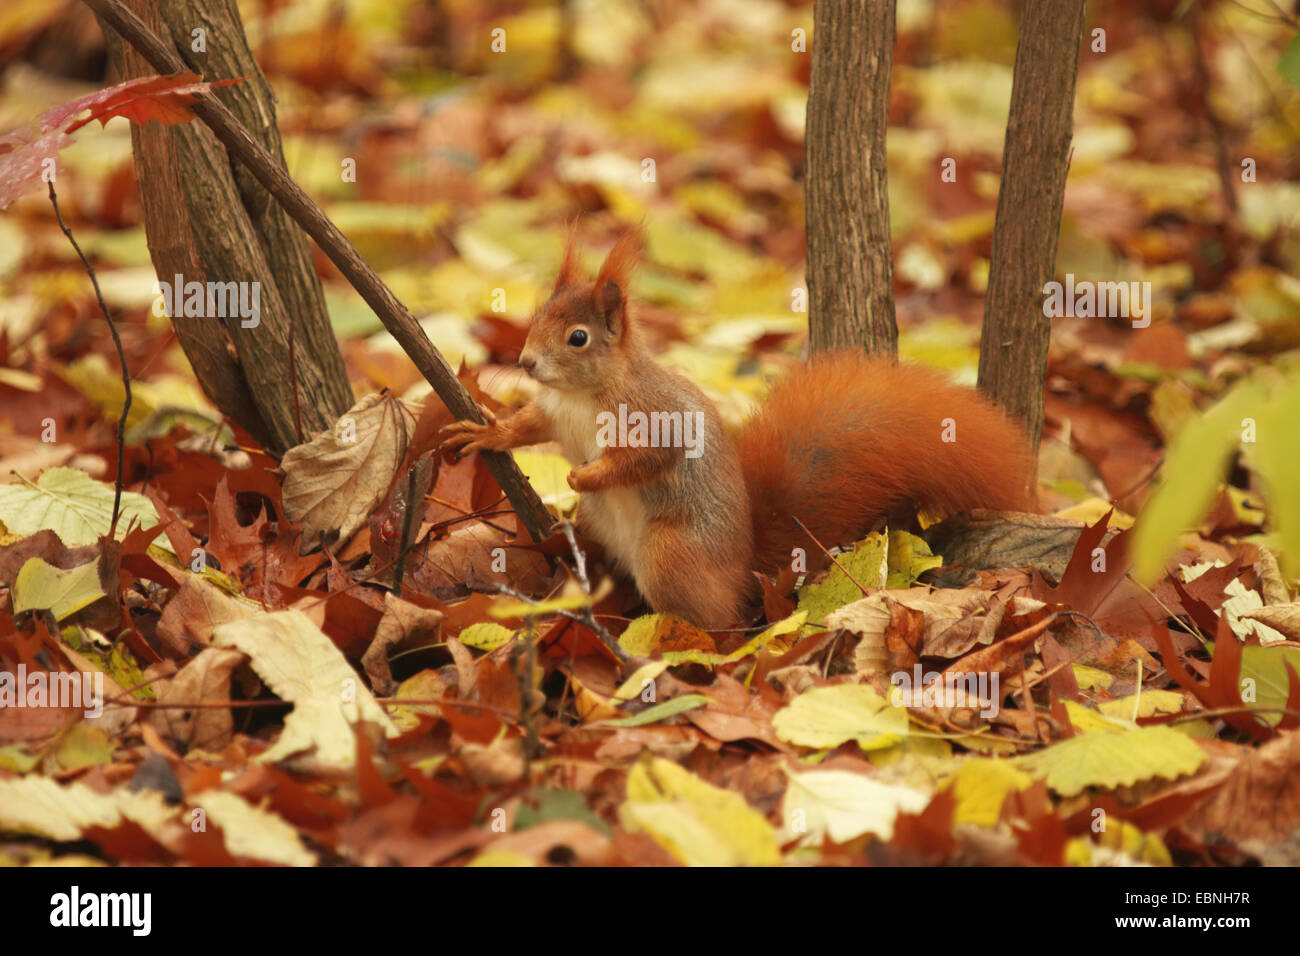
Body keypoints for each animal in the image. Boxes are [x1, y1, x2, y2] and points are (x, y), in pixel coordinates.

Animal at [441, 231, 1040, 632]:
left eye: (578, 337)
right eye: (539, 315)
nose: (525, 361)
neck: (581, 394)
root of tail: (744, 570)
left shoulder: (653, 419)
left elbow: (642, 459)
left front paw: (585, 476)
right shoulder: (553, 413)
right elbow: (526, 427)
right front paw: (485, 433)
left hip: (671, 551)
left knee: (714, 619)